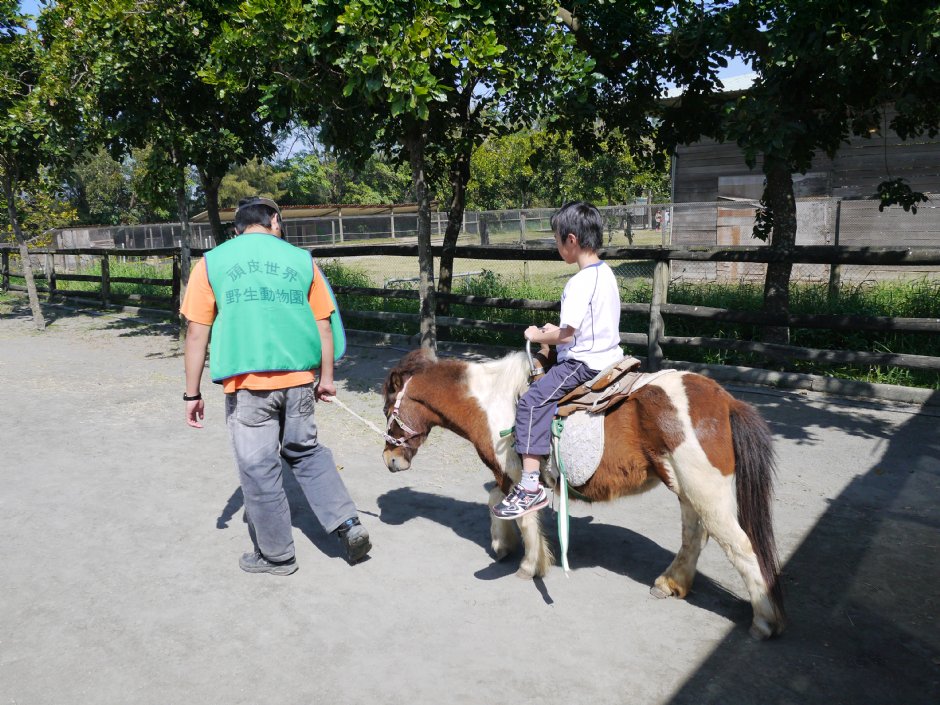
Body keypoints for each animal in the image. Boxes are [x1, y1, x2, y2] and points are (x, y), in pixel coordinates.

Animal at [380, 348, 786, 639]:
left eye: (387, 408)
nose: (389, 459)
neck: (490, 402)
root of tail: (726, 401)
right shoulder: (508, 478)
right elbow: (496, 502)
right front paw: (501, 545)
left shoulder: (516, 475)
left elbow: (522, 518)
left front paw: (529, 566)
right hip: (685, 486)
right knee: (694, 535)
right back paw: (671, 584)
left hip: (704, 489)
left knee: (741, 546)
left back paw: (765, 621)